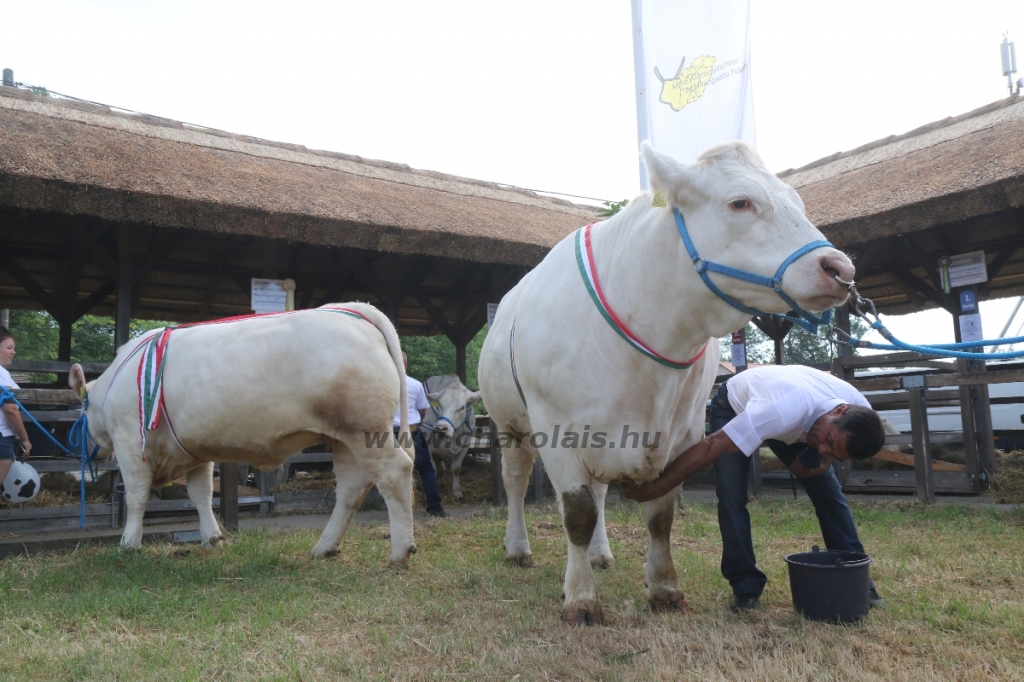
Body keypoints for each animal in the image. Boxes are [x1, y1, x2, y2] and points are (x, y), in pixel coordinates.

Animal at [70, 303, 417, 569]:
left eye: (80, 414)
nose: (84, 453)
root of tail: (356, 311)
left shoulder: (130, 442)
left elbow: (137, 496)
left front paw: (128, 544)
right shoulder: (194, 450)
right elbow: (200, 494)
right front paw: (212, 537)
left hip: (365, 429)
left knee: (394, 472)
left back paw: (400, 552)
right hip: (345, 438)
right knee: (350, 487)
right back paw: (325, 547)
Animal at [479, 139, 856, 622]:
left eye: (797, 202)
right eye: (740, 202)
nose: (840, 268)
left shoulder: (684, 433)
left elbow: (659, 516)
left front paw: (664, 588)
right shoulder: (557, 430)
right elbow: (577, 514)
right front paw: (580, 599)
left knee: (599, 492)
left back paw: (601, 554)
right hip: (509, 425)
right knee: (516, 481)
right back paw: (518, 548)